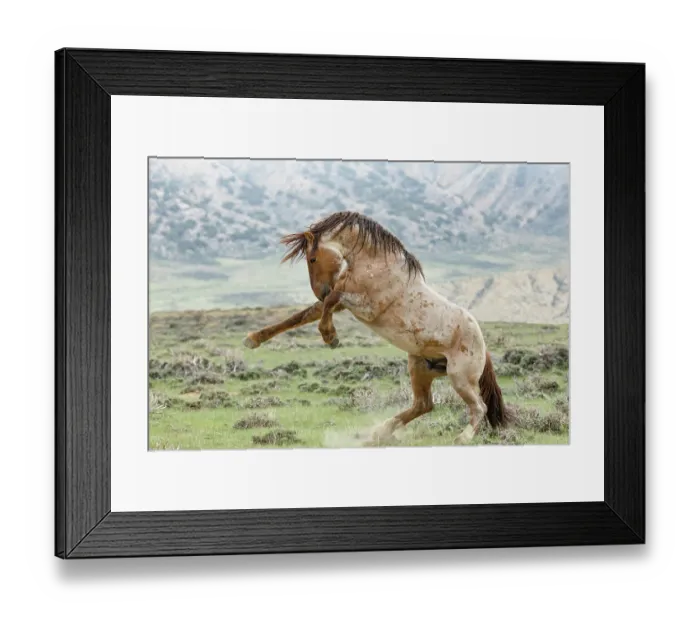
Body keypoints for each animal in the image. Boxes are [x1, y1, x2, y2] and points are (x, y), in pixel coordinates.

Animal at [243, 211, 510, 444]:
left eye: (312, 258)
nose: (320, 291)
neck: (376, 266)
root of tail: (483, 346)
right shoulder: (345, 304)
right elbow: (300, 317)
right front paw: (253, 339)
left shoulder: (365, 306)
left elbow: (331, 301)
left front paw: (331, 337)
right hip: (420, 368)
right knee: (423, 405)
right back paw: (379, 433)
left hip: (460, 377)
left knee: (479, 407)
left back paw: (461, 438)